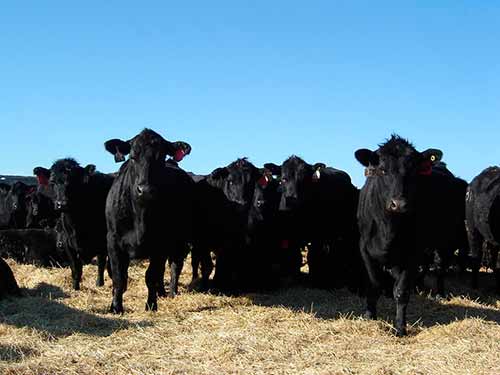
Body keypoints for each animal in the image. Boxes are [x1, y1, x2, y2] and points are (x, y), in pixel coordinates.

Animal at [47, 159, 113, 290]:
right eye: (52, 182)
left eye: (74, 182)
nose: (61, 204)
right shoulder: (68, 244)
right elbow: (75, 269)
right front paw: (75, 287)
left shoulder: (103, 242)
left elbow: (101, 264)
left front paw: (99, 284)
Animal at [104, 129, 192, 314]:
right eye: (132, 156)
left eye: (161, 157)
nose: (145, 190)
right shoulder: (113, 240)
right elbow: (118, 276)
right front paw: (116, 306)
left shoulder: (160, 243)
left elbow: (151, 276)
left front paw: (151, 304)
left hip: (180, 241)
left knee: (174, 266)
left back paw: (170, 292)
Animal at [268, 156, 362, 290]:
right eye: (283, 179)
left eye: (304, 180)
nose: (292, 199)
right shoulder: (290, 234)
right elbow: (294, 255)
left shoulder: (318, 235)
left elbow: (313, 255)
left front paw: (317, 281)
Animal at [356, 136, 464, 338]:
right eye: (382, 169)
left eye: (413, 171)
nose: (398, 204)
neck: (388, 229)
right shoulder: (365, 249)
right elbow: (374, 284)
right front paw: (370, 316)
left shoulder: (413, 254)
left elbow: (401, 291)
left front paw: (400, 327)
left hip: (444, 241)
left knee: (439, 267)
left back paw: (440, 293)